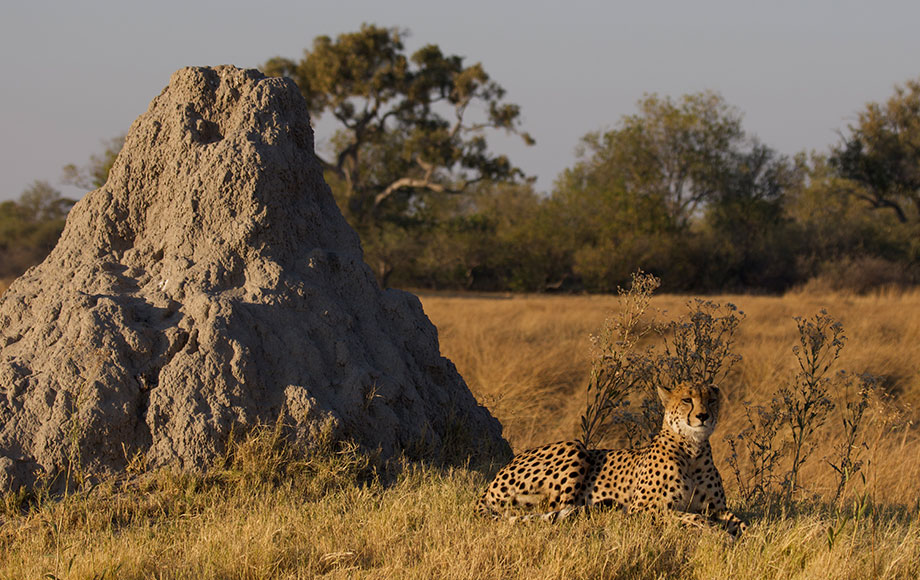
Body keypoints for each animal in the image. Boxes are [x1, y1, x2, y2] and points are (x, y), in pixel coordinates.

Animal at [474, 380, 748, 540]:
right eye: (687, 400)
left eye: (711, 400)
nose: (703, 416)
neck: (692, 449)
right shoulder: (642, 510)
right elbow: (688, 516)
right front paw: (718, 533)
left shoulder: (717, 508)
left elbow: (741, 522)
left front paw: (750, 539)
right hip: (574, 446)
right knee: (559, 511)